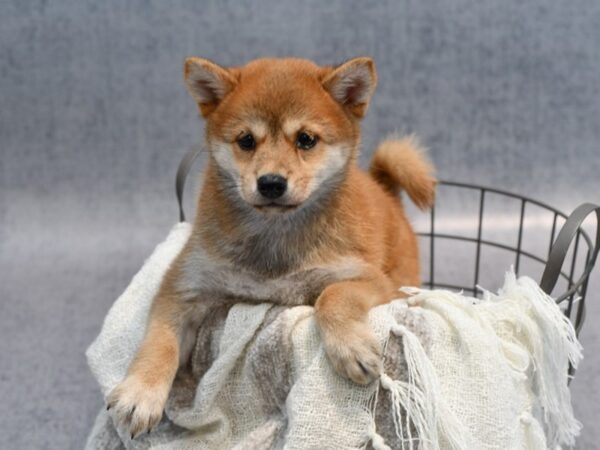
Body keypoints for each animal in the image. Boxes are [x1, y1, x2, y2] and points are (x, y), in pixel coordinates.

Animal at [106, 55, 436, 436]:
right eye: (246, 140)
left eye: (306, 139)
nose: (272, 183)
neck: (274, 240)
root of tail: (386, 192)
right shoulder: (185, 285)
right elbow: (159, 340)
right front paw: (141, 393)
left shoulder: (370, 280)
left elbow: (331, 297)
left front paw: (350, 347)